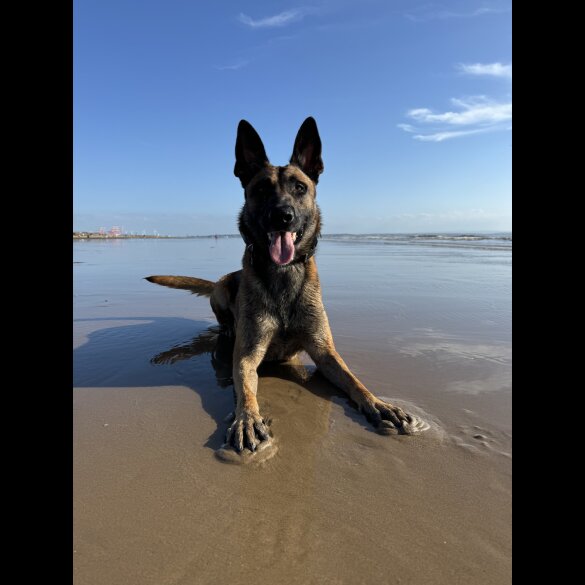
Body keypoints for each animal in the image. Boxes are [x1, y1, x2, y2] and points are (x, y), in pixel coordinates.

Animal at [147, 118, 428, 454]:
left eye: (300, 188)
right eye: (261, 189)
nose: (283, 216)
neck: (283, 275)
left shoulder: (324, 352)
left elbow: (354, 380)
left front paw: (379, 405)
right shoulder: (246, 356)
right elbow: (246, 390)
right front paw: (246, 420)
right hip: (222, 287)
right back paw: (227, 329)